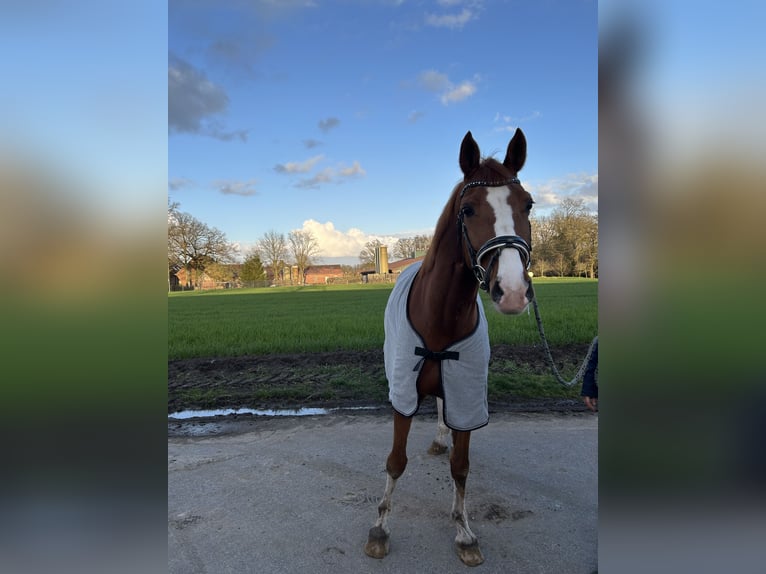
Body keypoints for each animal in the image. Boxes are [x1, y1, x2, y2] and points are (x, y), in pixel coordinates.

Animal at [364, 128, 534, 566]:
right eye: (469, 209)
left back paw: (441, 436)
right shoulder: (403, 397)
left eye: (527, 204)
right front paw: (380, 528)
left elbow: (461, 466)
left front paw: (464, 532)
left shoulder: (466, 394)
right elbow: (395, 462)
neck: (439, 317)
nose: (512, 291)